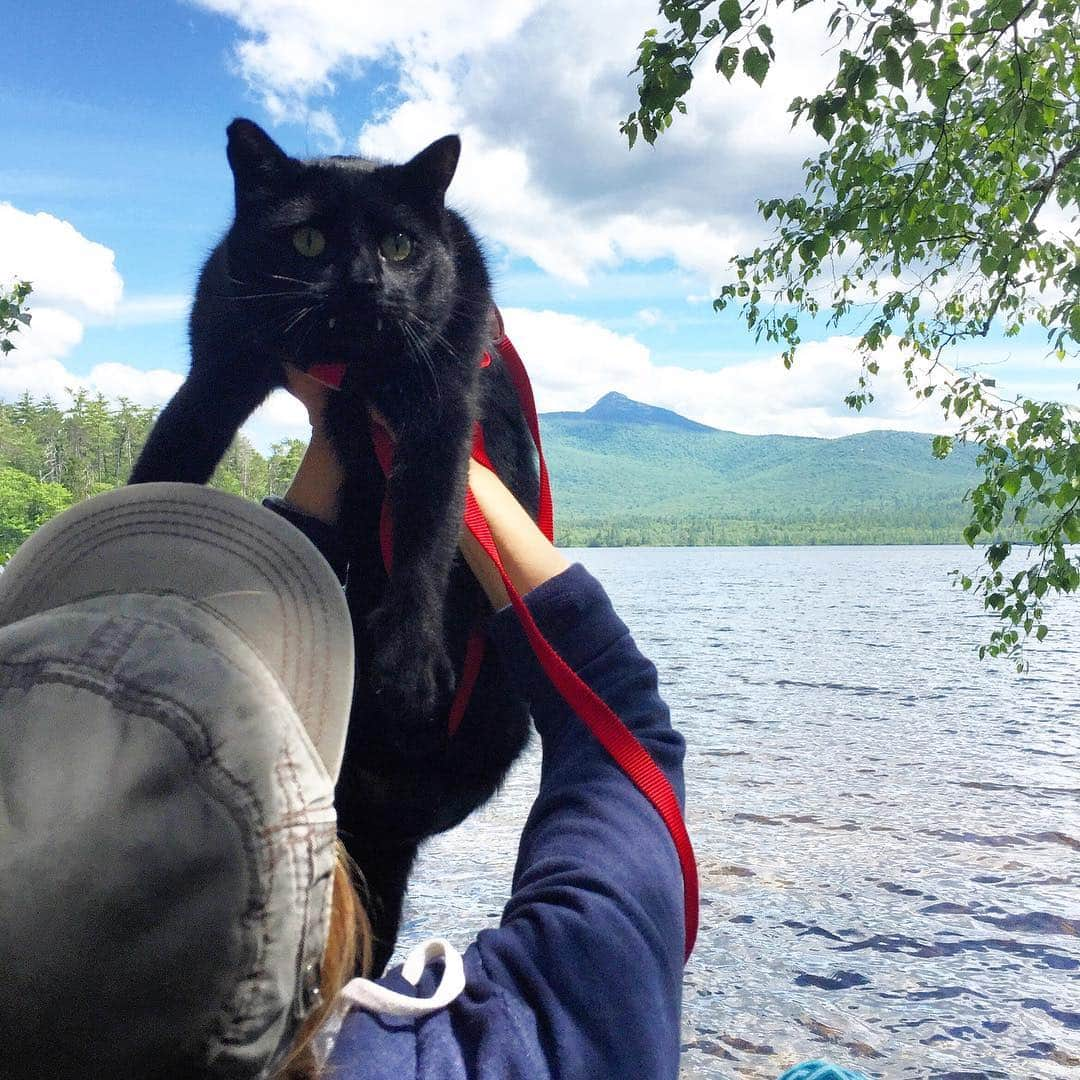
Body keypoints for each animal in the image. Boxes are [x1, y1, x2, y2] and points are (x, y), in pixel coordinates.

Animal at [132, 118, 537, 972]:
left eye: (399, 246)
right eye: (309, 240)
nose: (361, 283)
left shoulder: (439, 411)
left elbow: (425, 535)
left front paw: (409, 662)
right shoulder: (217, 368)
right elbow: (165, 460)